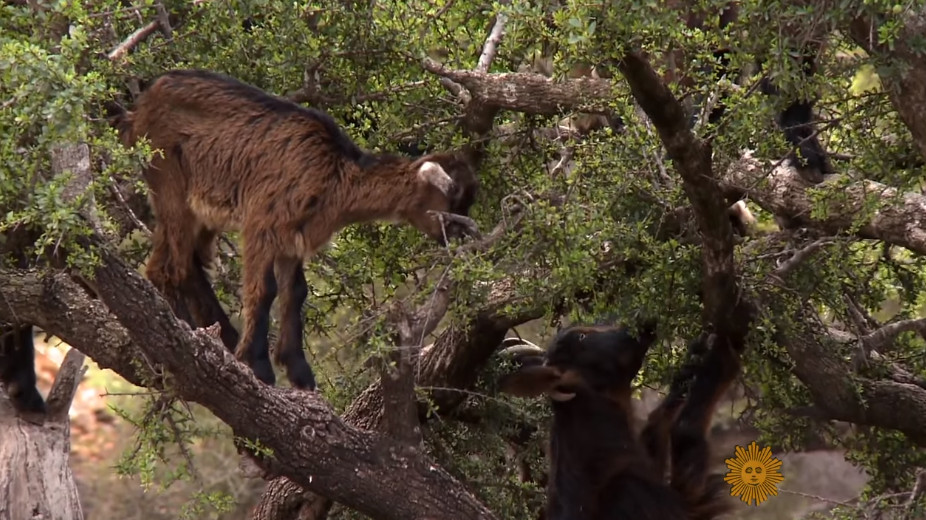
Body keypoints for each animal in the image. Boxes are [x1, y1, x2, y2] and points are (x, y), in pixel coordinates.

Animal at [112, 71, 482, 392]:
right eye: (453, 202)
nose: (465, 240)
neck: (337, 174)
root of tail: (139, 109)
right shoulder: (262, 223)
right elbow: (264, 290)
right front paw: (258, 365)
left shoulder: (292, 239)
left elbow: (295, 292)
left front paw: (298, 370)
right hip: (169, 185)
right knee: (170, 267)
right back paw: (184, 340)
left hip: (202, 211)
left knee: (183, 264)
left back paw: (221, 337)